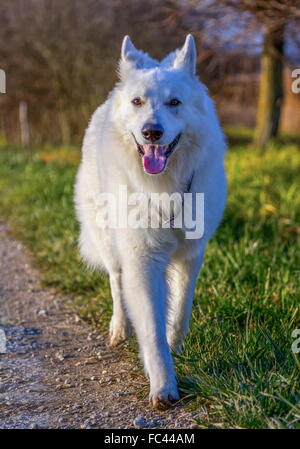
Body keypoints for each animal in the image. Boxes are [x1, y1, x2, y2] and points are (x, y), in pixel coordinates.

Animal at [74, 33, 225, 408]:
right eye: (138, 102)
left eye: (174, 102)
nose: (152, 133)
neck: (164, 188)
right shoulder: (141, 259)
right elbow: (151, 329)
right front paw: (163, 385)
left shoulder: (191, 254)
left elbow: (181, 308)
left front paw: (176, 345)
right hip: (108, 241)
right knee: (116, 281)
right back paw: (119, 328)